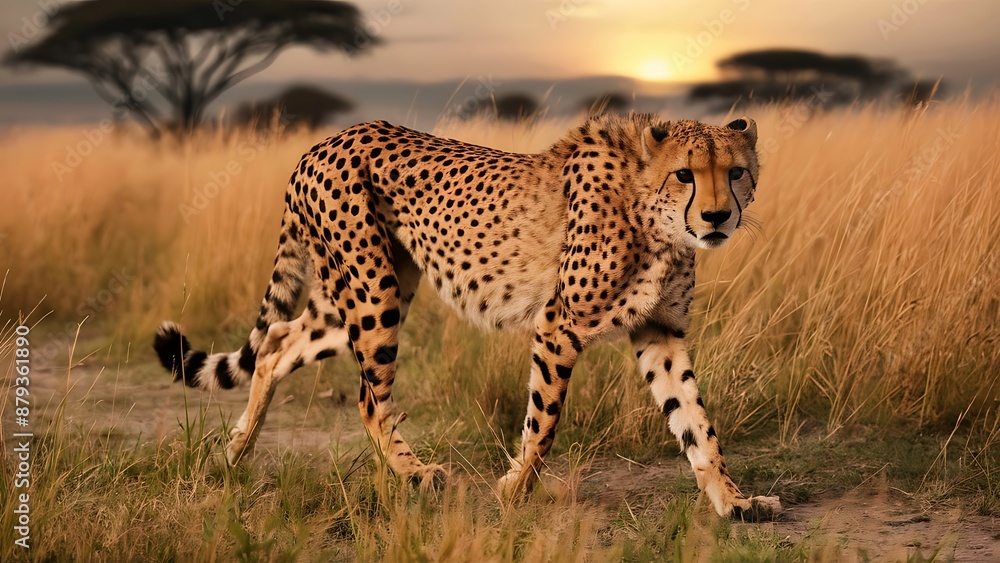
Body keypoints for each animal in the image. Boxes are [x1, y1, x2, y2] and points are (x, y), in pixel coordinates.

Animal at [154, 112, 781, 519]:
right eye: (685, 174)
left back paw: (235, 452)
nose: (717, 217)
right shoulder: (559, 324)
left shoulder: (660, 331)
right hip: (372, 292)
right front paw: (515, 490)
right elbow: (544, 421)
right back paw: (414, 473)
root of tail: (325, 141)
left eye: (736, 172)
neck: (652, 214)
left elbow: (696, 421)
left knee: (278, 342)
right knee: (366, 396)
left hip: (364, 289)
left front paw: (733, 500)